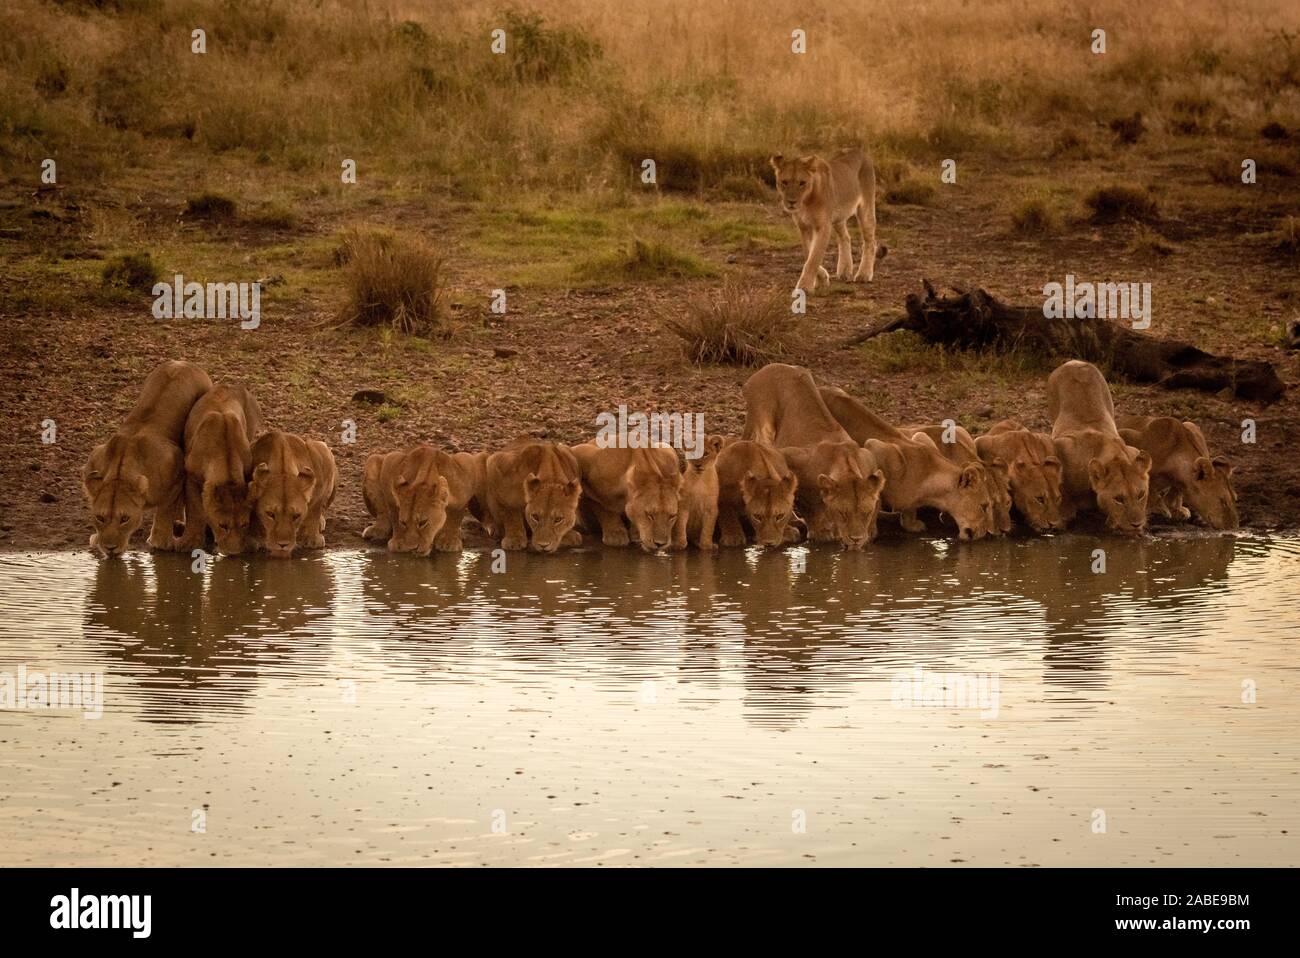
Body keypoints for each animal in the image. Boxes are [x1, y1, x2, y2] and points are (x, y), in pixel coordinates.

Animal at [81, 358, 210, 553]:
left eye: (124, 519)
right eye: (100, 518)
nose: (110, 548)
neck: (120, 470)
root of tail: (183, 362)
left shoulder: (176, 471)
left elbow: (165, 511)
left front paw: (159, 540)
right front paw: (97, 539)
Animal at [178, 382, 263, 553]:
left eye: (244, 524)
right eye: (222, 525)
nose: (233, 552)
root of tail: (230, 384)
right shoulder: (191, 476)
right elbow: (195, 510)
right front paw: (190, 542)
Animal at [244, 428, 335, 556]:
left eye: (296, 516)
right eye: (270, 514)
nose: (283, 545)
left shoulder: (321, 479)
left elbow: (315, 510)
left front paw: (313, 539)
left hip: (322, 447)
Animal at [769, 147, 883, 289]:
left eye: (802, 183)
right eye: (784, 182)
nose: (791, 202)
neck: (806, 202)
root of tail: (860, 151)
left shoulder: (823, 226)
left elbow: (814, 257)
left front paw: (804, 286)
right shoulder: (803, 226)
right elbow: (808, 253)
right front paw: (822, 279)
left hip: (865, 208)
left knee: (870, 241)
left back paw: (864, 274)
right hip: (838, 216)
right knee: (845, 237)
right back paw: (845, 271)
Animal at [1050, 361, 1154, 535]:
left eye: (1141, 494)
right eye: (1119, 499)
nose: (1137, 524)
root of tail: (1074, 362)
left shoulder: (1132, 450)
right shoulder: (1061, 446)